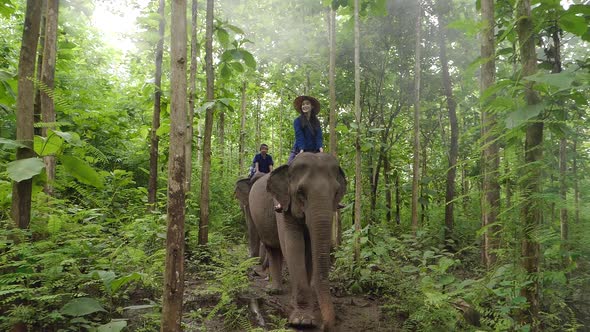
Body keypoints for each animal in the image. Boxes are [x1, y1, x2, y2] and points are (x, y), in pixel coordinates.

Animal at [268, 152, 346, 330]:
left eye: (336, 192)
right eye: (300, 192)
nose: (324, 326)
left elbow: (309, 250)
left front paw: (306, 316)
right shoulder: (286, 208)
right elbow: (294, 246)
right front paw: (302, 321)